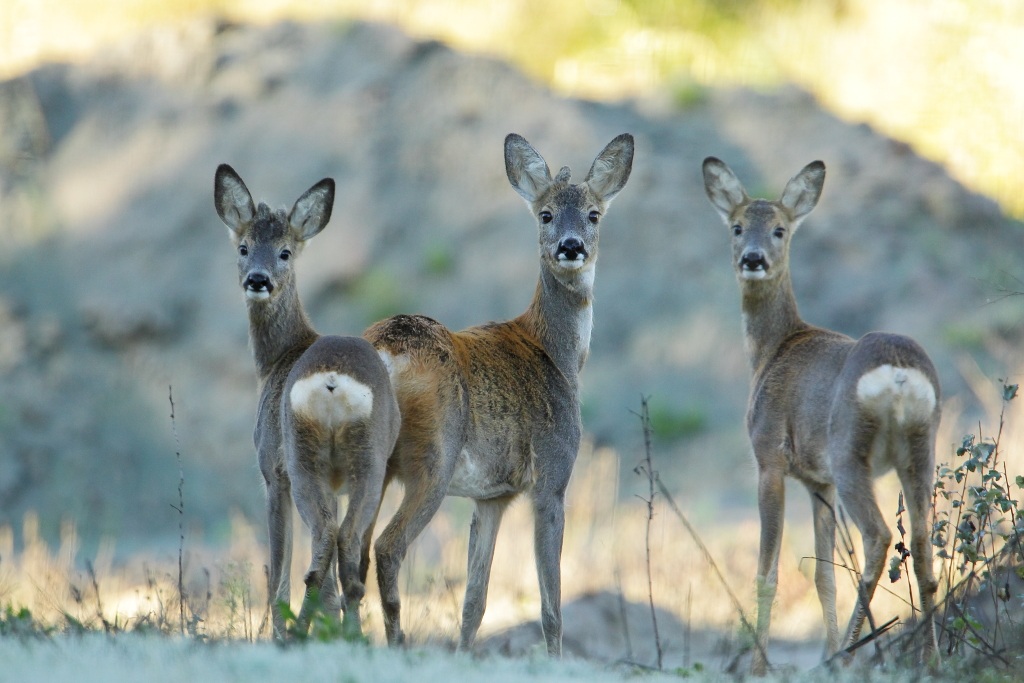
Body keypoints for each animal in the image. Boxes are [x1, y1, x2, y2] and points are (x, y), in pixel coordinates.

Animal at [213, 164, 401, 640]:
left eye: (285, 252)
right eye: (244, 247)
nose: (257, 279)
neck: (277, 359)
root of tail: (332, 379)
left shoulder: (270, 470)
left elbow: (277, 568)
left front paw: (277, 631)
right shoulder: (335, 484)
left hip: (301, 459)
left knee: (322, 543)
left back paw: (298, 632)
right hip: (369, 461)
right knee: (346, 543)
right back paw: (351, 633)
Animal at [362, 133, 634, 655]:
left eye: (594, 214)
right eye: (545, 214)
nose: (571, 246)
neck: (557, 355)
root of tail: (384, 350)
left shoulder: (492, 496)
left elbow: (474, 602)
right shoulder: (551, 477)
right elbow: (551, 608)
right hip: (433, 459)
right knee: (386, 547)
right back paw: (397, 645)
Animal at [701, 157, 940, 674]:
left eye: (779, 229)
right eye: (736, 226)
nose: (753, 258)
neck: (773, 349)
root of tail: (898, 373)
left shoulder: (770, 458)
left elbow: (766, 573)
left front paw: (758, 669)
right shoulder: (818, 480)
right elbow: (824, 575)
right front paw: (824, 646)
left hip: (851, 449)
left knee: (878, 536)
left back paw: (848, 654)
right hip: (921, 448)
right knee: (924, 546)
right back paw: (927, 660)